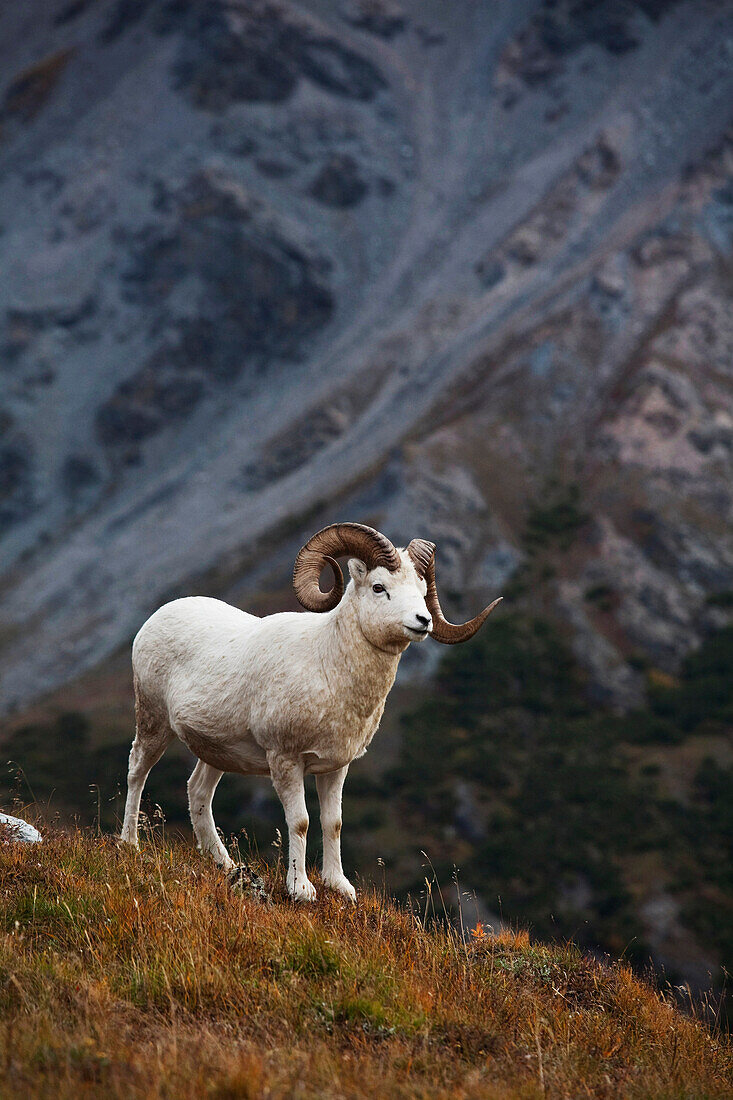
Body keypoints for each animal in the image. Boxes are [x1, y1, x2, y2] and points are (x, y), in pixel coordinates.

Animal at [122, 523, 499, 902]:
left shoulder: (335, 767)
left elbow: (333, 823)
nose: (423, 621)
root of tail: (155, 619)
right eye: (379, 587)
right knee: (137, 770)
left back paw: (224, 864)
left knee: (198, 792)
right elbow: (300, 821)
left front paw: (340, 886)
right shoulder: (285, 761)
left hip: (215, 752)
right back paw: (130, 844)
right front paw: (301, 890)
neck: (327, 667)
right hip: (153, 721)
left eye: (422, 592)